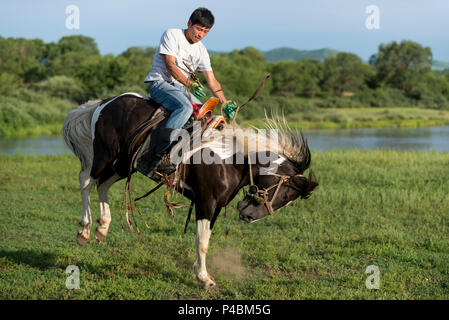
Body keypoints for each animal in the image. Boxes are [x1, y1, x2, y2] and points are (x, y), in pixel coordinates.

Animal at [62, 89, 318, 288]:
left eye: (287, 199)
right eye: (284, 193)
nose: (248, 216)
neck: (229, 158)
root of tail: (106, 102)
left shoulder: (215, 206)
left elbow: (205, 239)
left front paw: (200, 274)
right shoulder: (206, 202)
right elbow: (202, 241)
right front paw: (205, 279)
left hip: (126, 163)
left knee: (103, 184)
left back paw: (102, 227)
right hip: (104, 154)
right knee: (86, 181)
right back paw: (85, 230)